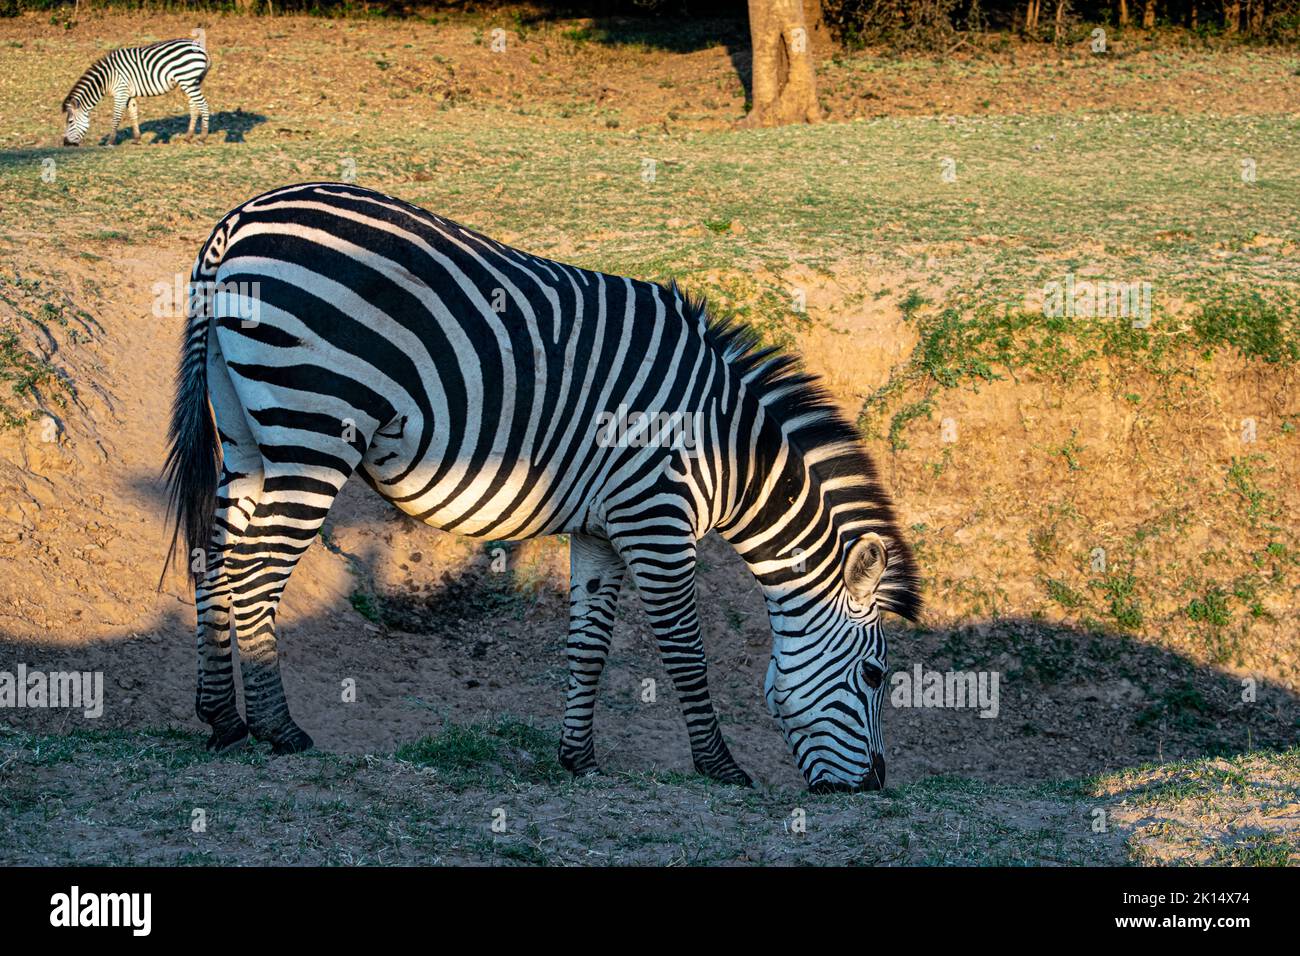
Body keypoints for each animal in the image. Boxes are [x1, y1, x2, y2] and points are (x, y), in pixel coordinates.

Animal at [62, 38, 210, 147]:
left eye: (70, 121)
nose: (65, 143)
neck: (107, 78)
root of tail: (202, 49)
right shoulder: (128, 94)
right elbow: (133, 114)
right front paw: (137, 139)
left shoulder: (120, 92)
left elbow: (116, 117)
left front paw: (110, 142)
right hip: (192, 82)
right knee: (194, 106)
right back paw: (188, 136)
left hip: (187, 80)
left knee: (203, 105)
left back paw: (202, 138)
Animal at [164, 182, 921, 792]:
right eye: (876, 677)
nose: (876, 787)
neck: (726, 450)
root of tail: (239, 220)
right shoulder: (655, 517)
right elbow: (685, 647)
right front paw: (720, 767)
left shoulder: (602, 527)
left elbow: (588, 644)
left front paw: (578, 759)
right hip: (315, 427)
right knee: (255, 571)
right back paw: (279, 729)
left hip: (248, 435)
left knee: (214, 558)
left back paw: (222, 717)